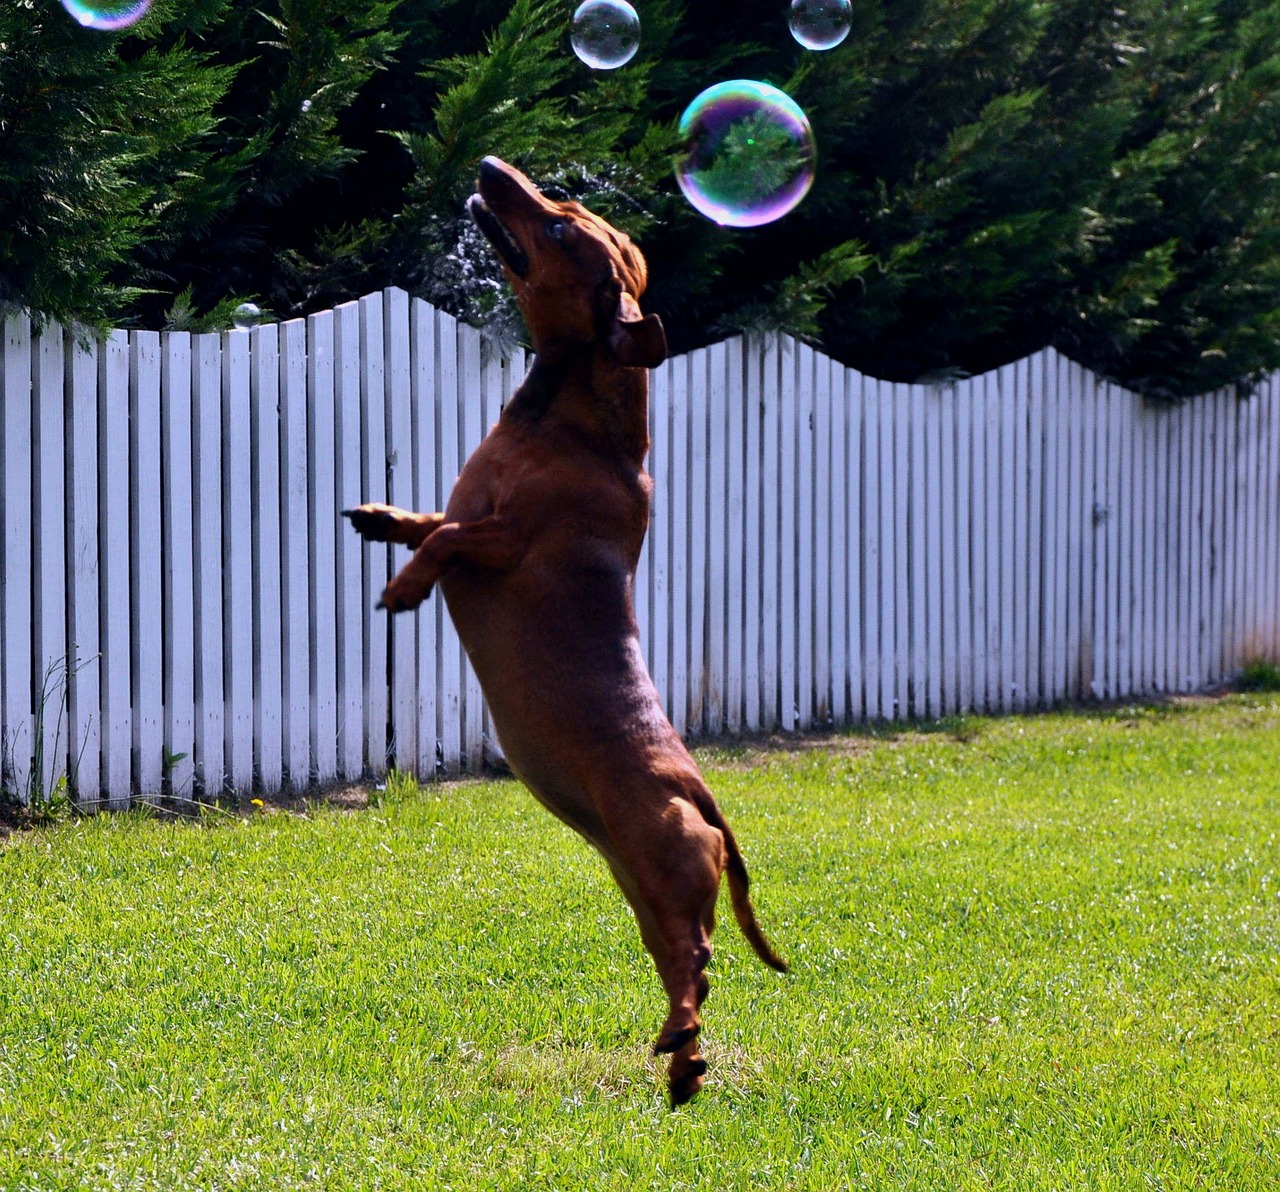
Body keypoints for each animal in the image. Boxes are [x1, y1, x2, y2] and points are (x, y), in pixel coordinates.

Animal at [345, 158, 783, 1111]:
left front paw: (405, 584)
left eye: (556, 226)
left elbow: (446, 539)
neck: (567, 423)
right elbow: (428, 518)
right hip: (643, 886)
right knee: (687, 968)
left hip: (663, 861)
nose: (489, 169)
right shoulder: (468, 509)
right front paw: (380, 519)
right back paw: (683, 1062)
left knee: (698, 959)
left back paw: (682, 1044)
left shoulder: (505, 542)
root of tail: (702, 793)